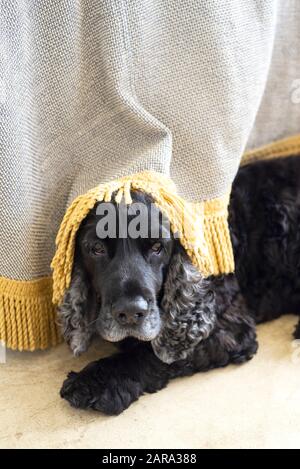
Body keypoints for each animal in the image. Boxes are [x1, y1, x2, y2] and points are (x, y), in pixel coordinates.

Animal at [59, 154, 300, 414]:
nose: (131, 313)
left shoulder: (227, 326)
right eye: (97, 249)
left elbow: (152, 353)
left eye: (157, 247)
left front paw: (94, 382)